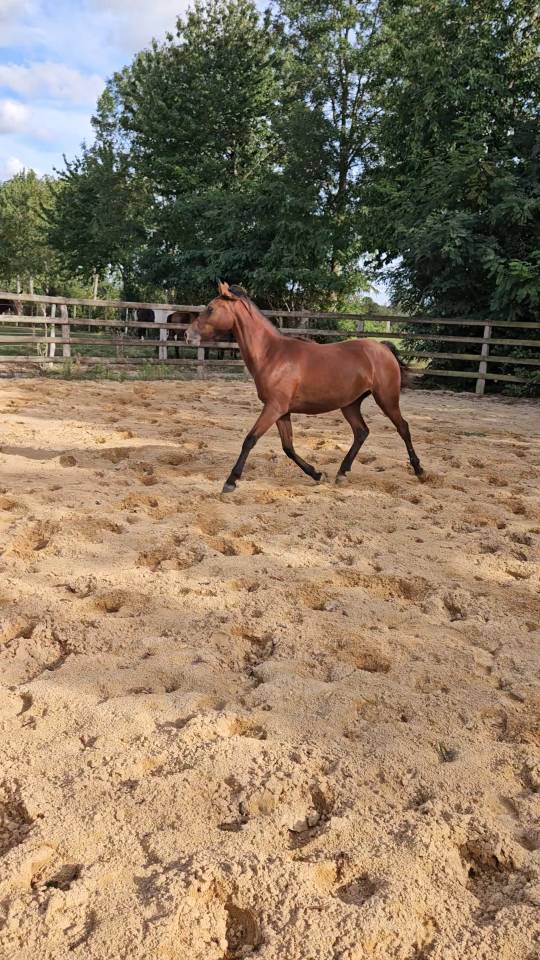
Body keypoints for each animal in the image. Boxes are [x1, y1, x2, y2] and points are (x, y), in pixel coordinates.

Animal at [185, 281, 424, 493]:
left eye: (210, 308)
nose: (187, 335)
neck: (271, 354)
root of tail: (383, 348)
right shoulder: (281, 411)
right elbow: (288, 447)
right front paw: (317, 474)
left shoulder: (273, 408)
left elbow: (250, 440)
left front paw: (230, 482)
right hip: (350, 404)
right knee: (361, 432)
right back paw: (341, 473)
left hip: (386, 398)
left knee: (403, 428)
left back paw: (420, 471)